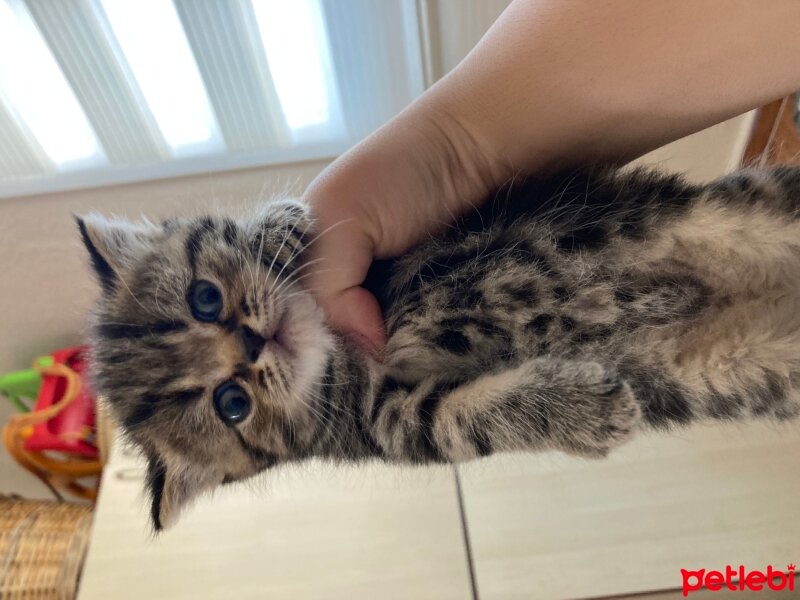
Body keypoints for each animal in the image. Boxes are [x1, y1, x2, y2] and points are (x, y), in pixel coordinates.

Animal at [78, 165, 800, 528]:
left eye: (205, 298)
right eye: (232, 404)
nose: (255, 343)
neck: (332, 345)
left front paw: (280, 225)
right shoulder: (390, 421)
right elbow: (463, 419)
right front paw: (584, 408)